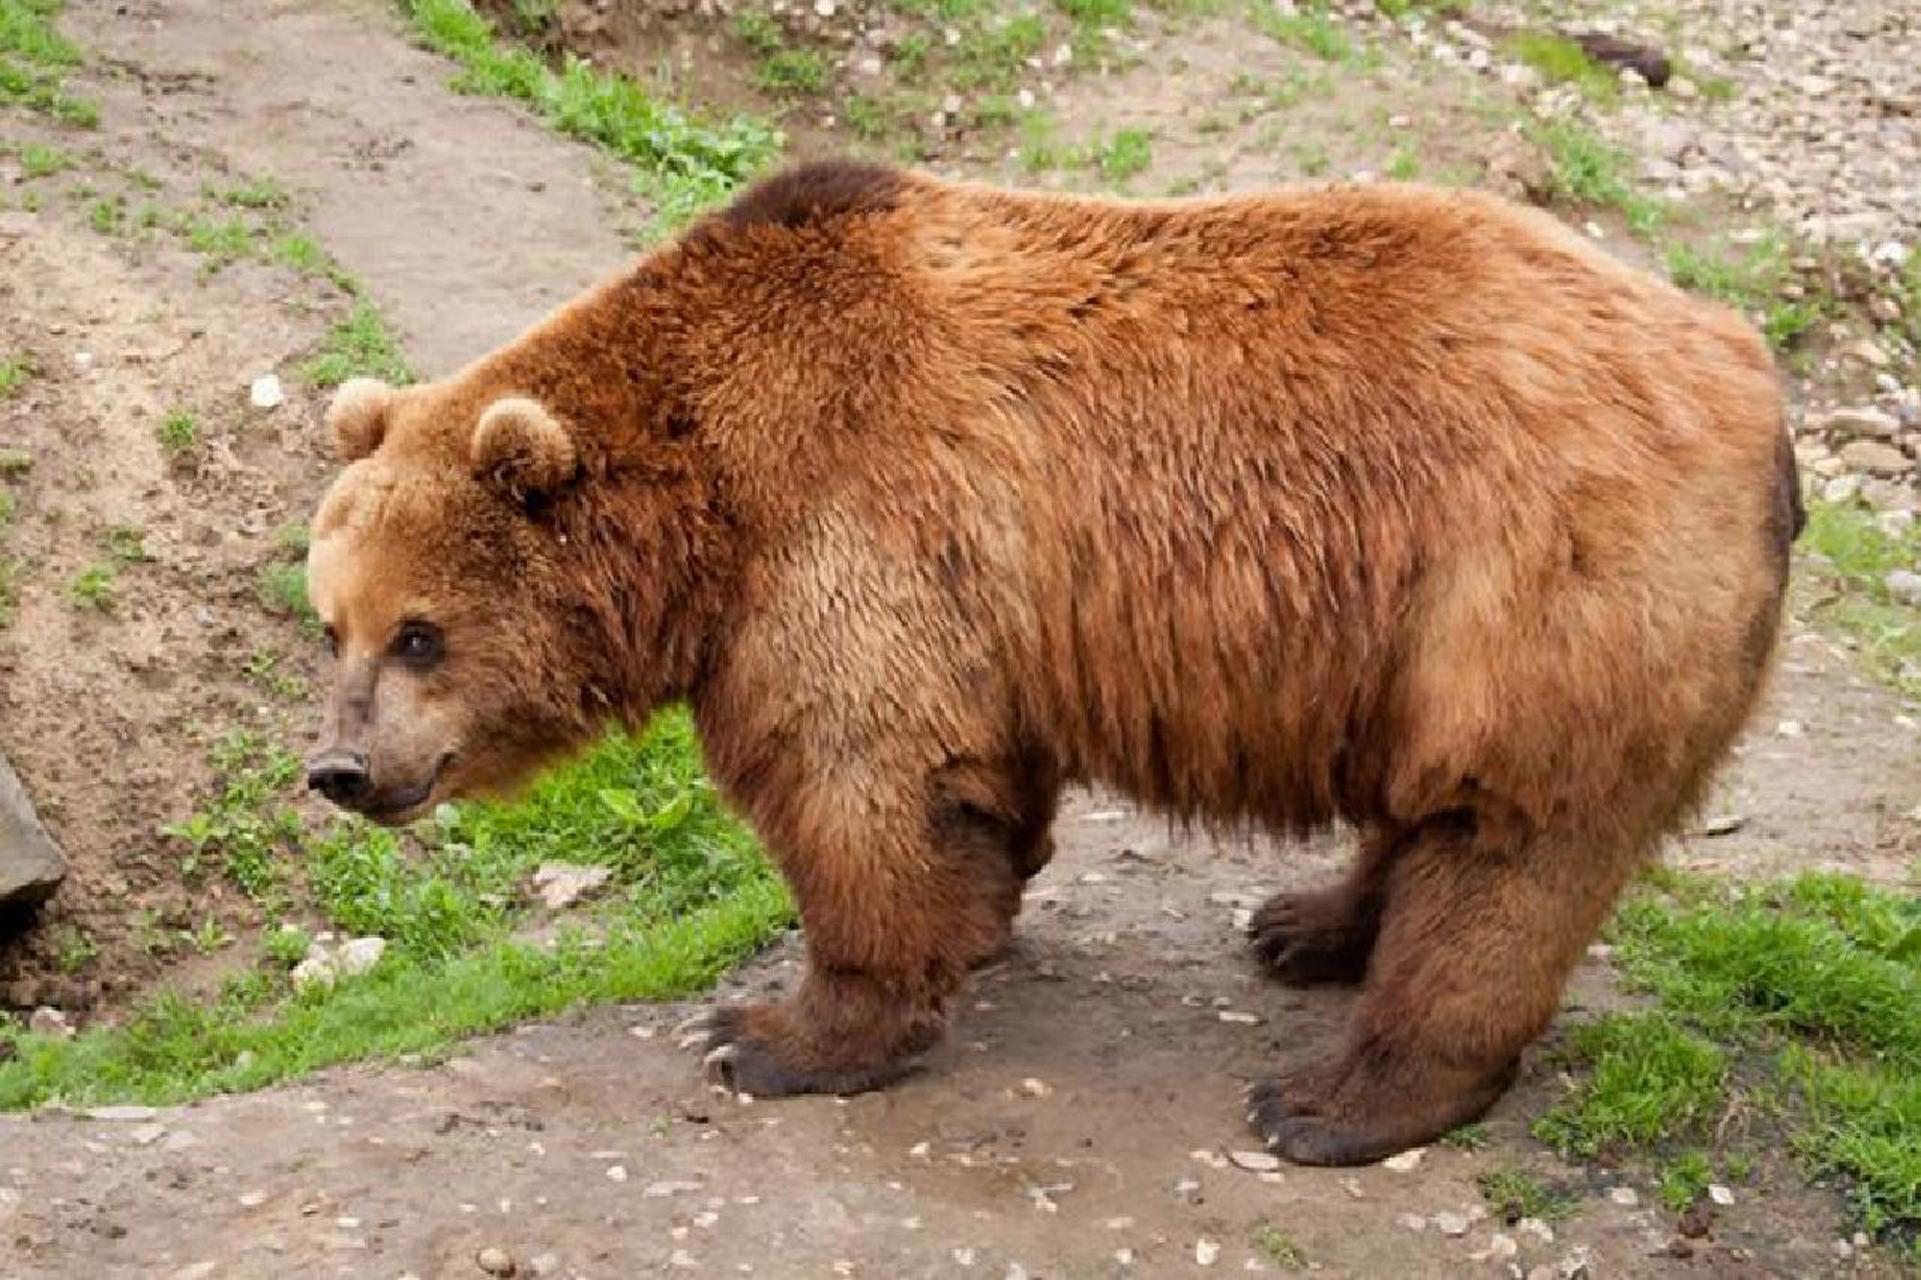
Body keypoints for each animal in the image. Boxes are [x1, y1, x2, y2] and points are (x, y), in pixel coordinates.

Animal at [303, 160, 1799, 1165]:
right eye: (332, 622)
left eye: (421, 631)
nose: (339, 769)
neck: (704, 494)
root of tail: (1755, 384)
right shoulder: (968, 597)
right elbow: (964, 782)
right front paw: (975, 915)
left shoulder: (847, 523)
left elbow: (857, 781)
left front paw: (774, 1033)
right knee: (1437, 809)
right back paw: (1308, 923)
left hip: (1535, 584)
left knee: (1507, 843)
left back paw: (1334, 1096)